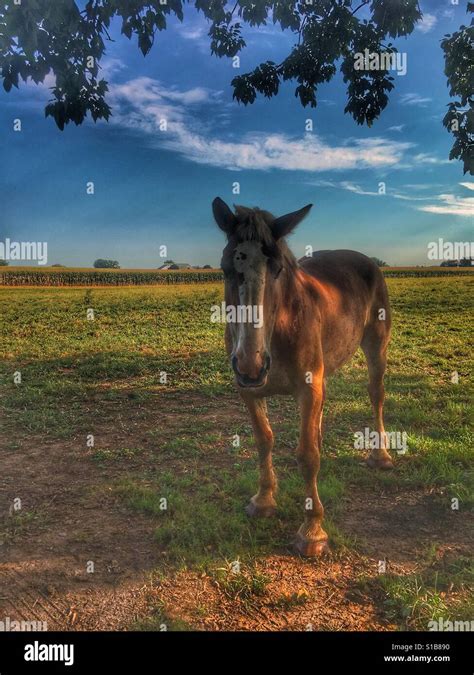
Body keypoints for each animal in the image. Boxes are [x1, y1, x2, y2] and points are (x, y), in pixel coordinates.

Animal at [213, 198, 394, 556]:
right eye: (226, 268)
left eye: (278, 269)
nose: (252, 364)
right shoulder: (249, 392)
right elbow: (264, 440)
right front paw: (263, 500)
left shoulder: (308, 388)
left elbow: (307, 456)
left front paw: (312, 531)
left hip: (376, 345)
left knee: (375, 394)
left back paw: (380, 455)